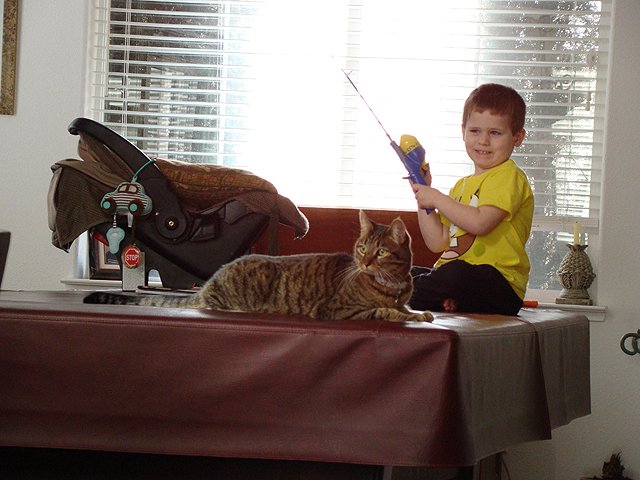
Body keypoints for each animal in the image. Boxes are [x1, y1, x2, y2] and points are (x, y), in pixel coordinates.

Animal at [84, 210, 433, 323]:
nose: (364, 261)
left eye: (381, 251)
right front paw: (410, 316)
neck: (395, 284)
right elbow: (384, 312)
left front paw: (418, 312)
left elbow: (403, 308)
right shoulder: (340, 310)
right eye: (362, 248)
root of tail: (211, 279)